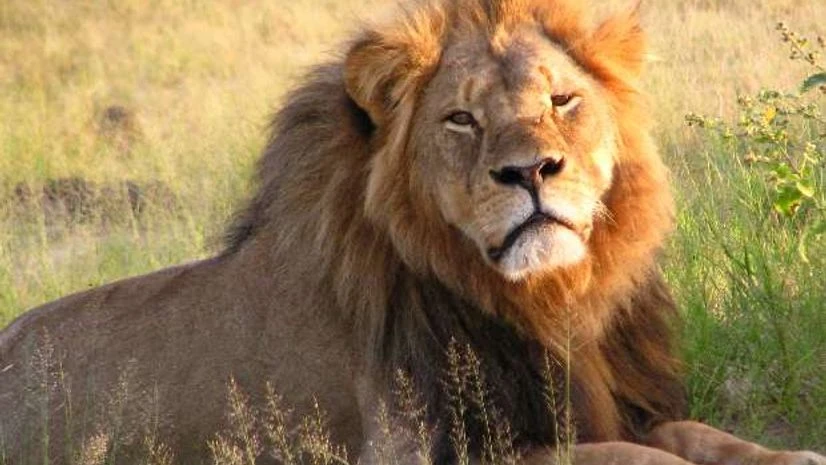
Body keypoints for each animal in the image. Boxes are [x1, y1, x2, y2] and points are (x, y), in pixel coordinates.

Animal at [1, 0, 824, 464]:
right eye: (461, 118)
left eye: (562, 100)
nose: (532, 171)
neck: (549, 300)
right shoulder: (418, 449)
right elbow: (621, 457)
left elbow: (698, 434)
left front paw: (790, 455)